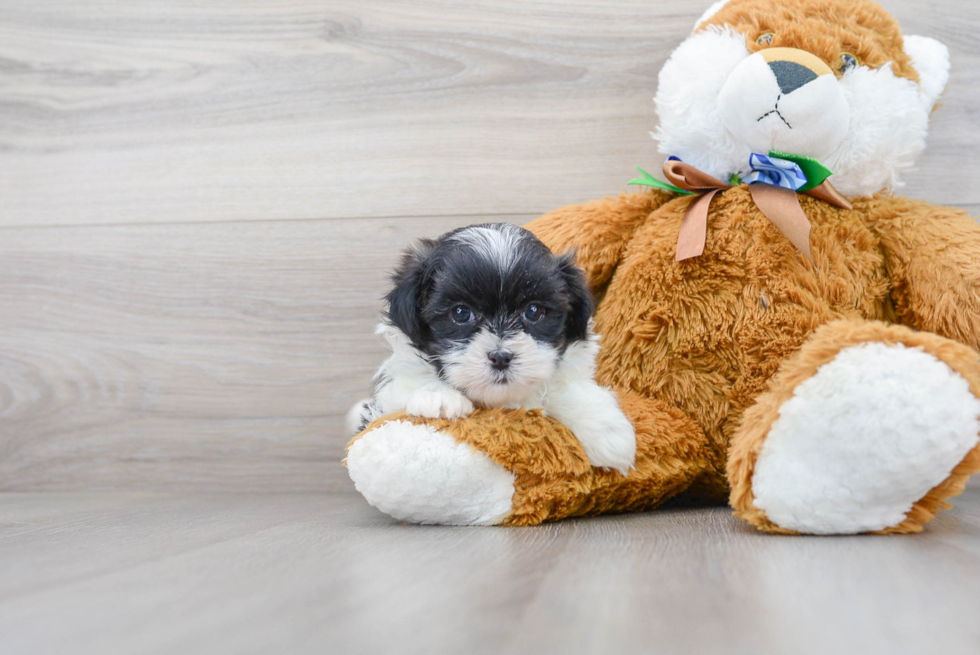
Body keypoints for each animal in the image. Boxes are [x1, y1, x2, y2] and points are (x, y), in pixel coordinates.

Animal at [348, 223, 640, 474]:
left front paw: (609, 433)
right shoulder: (385, 403)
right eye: (461, 313)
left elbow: (567, 388)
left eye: (533, 311)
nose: (501, 357)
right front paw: (438, 396)